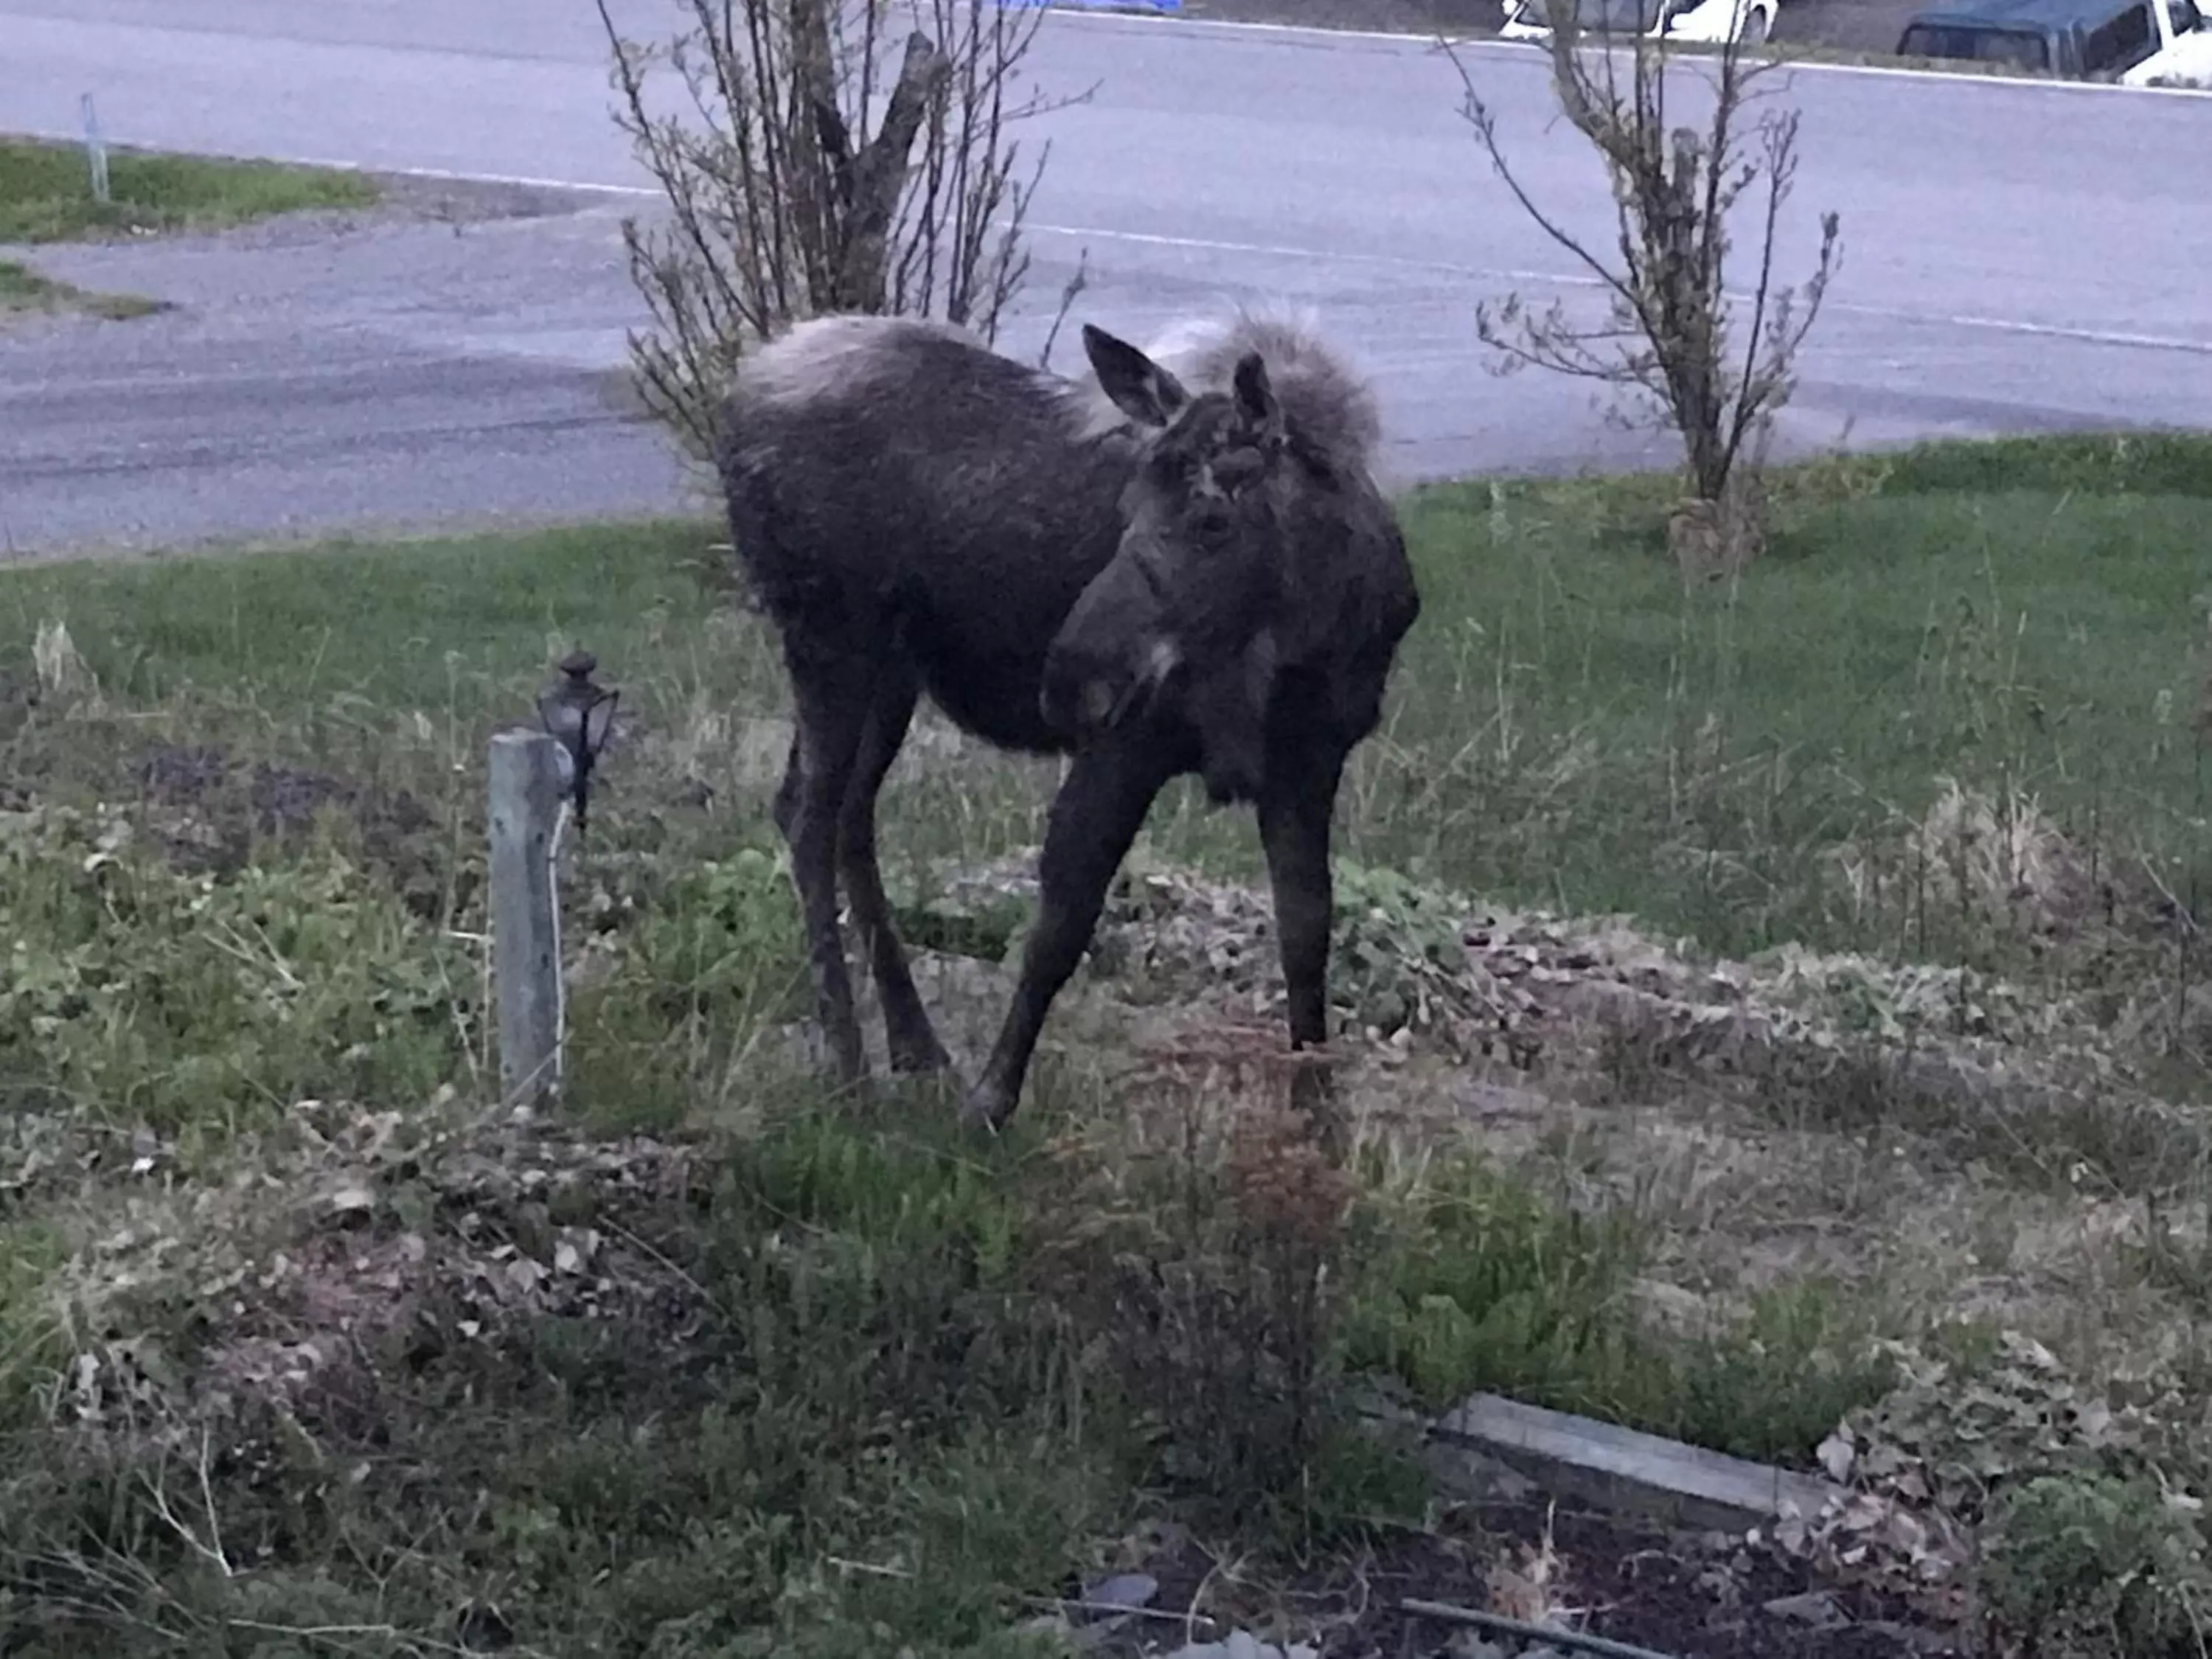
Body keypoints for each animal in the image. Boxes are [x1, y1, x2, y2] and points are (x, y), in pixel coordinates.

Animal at [717, 303, 1425, 1133]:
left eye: (1213, 521)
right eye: (1126, 508)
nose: (1070, 678)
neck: (1307, 639)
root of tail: (740, 396)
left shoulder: (1310, 765)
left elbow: (1308, 935)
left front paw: (1318, 1120)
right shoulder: (1124, 746)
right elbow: (1061, 924)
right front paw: (990, 1107)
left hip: (892, 672)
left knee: (846, 816)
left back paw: (916, 1046)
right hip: (831, 642)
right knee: (807, 813)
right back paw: (850, 1067)